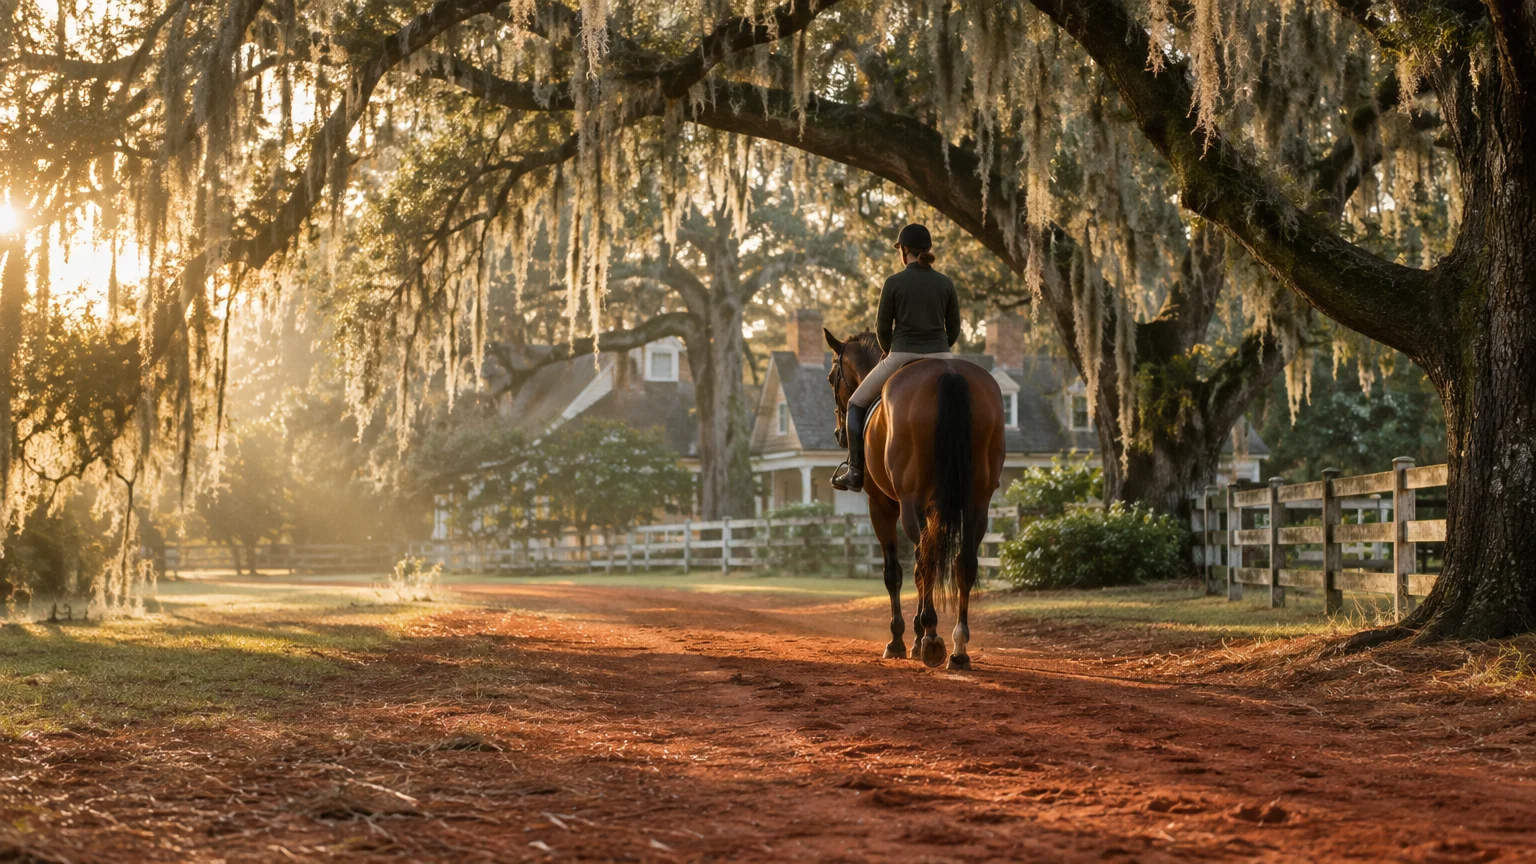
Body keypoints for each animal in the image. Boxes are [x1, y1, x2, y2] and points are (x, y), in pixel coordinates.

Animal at [823, 329, 1005, 669]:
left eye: (831, 378)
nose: (839, 434)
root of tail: (950, 375)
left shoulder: (880, 506)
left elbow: (894, 572)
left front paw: (901, 639)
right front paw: (918, 637)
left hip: (908, 504)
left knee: (925, 561)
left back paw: (932, 637)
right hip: (977, 503)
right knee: (962, 563)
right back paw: (958, 649)